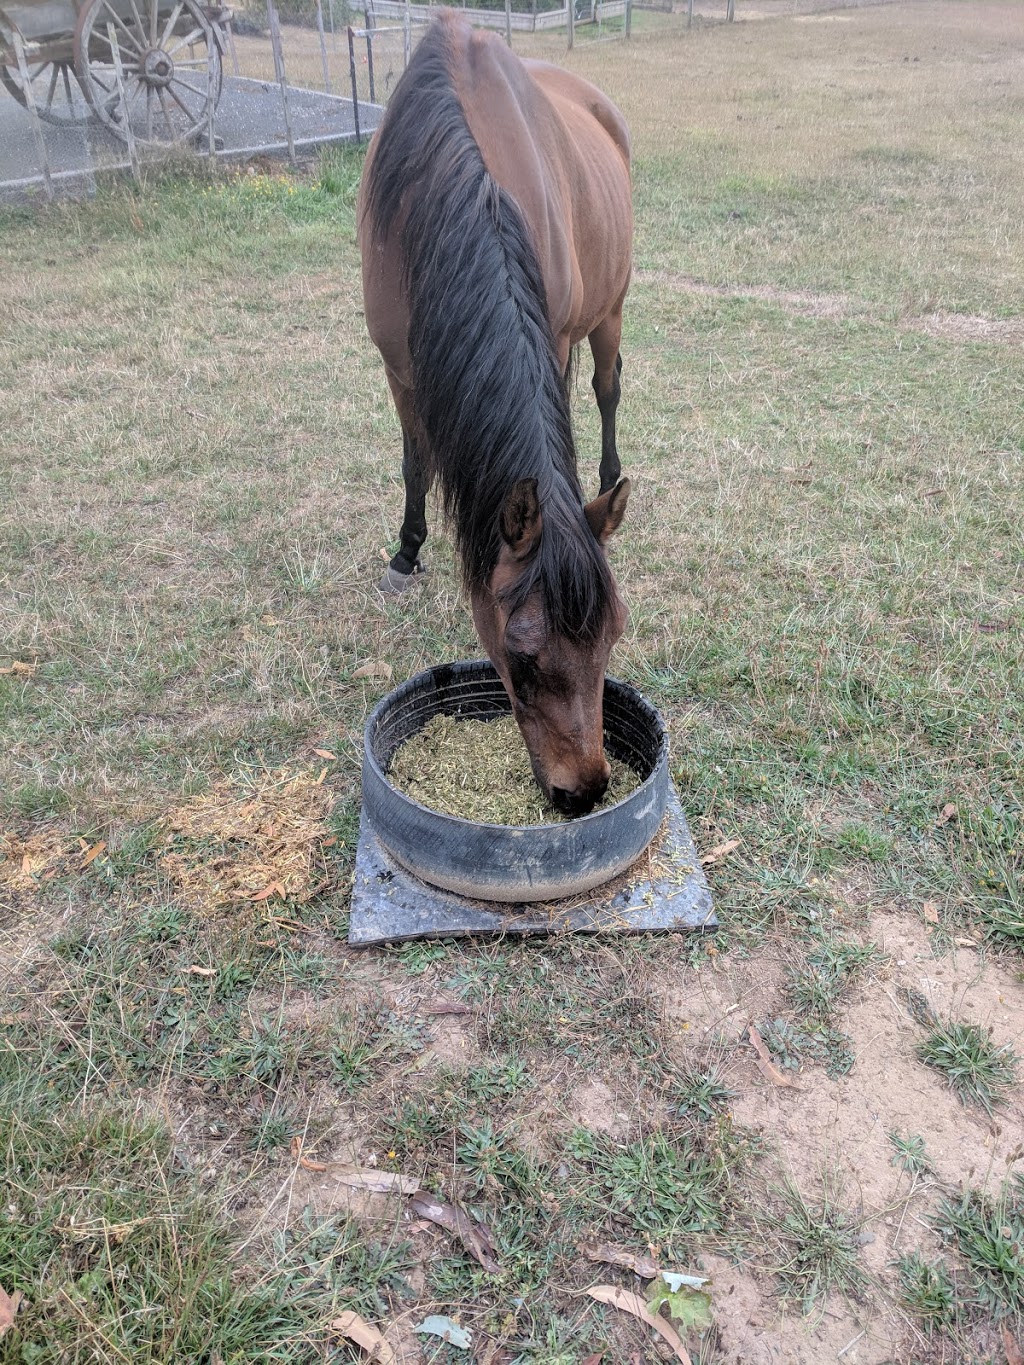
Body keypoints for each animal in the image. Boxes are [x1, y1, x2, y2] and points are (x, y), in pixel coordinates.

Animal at [357, 8, 633, 808]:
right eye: (524, 654)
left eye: (613, 638)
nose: (584, 793)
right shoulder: (398, 366)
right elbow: (415, 463)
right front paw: (407, 552)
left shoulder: (558, 338)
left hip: (611, 312)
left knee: (607, 391)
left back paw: (609, 473)